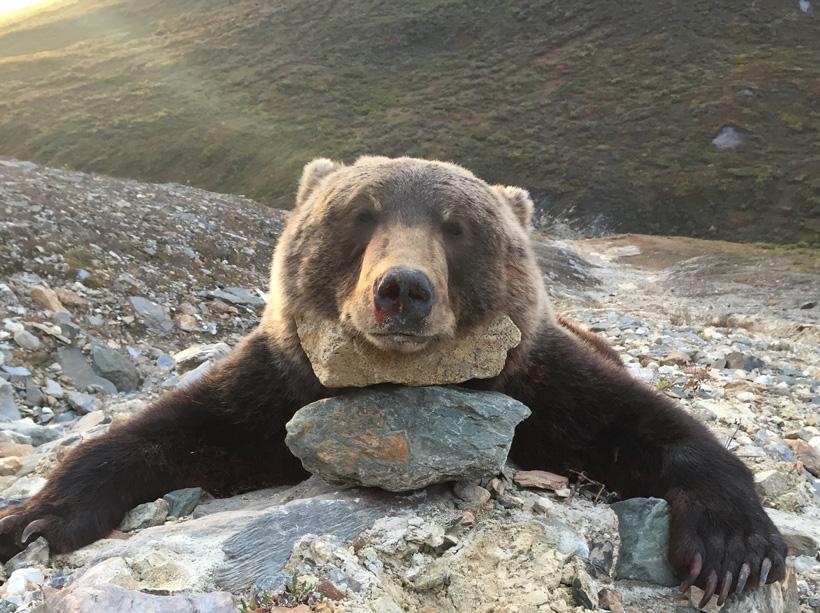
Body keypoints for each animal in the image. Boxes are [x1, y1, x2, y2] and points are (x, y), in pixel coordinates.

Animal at [0, 156, 785, 607]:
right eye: (360, 215)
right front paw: (31, 517)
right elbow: (170, 430)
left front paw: (733, 547)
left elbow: (646, 425)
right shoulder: (276, 386)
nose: (402, 288)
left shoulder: (543, 381)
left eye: (457, 226)